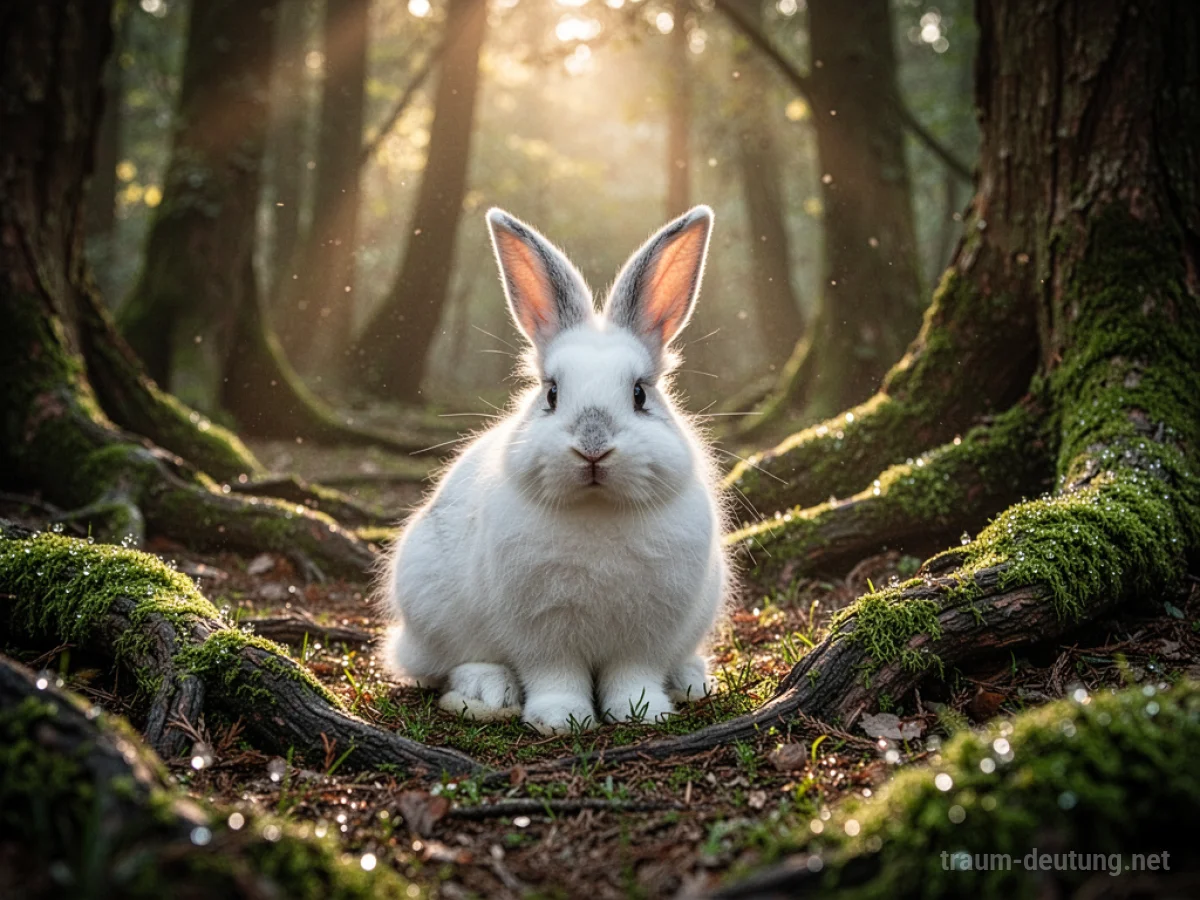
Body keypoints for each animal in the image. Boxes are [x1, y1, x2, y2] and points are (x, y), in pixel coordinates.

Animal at [379, 204, 729, 734]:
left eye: (640, 393)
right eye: (551, 393)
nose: (593, 447)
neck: (596, 509)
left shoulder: (645, 635)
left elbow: (632, 674)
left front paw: (641, 713)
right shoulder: (542, 631)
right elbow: (554, 674)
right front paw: (561, 719)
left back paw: (690, 678)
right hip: (431, 611)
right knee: (448, 663)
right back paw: (488, 689)